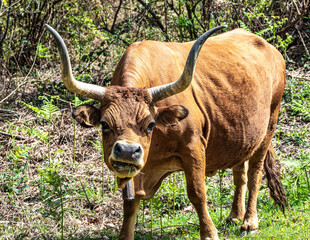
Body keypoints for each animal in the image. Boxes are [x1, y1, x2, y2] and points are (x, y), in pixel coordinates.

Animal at [46, 24, 288, 240]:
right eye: (105, 124)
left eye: (150, 124)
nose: (127, 151)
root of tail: (271, 48)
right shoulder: (136, 168)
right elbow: (129, 202)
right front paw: (125, 235)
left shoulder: (193, 148)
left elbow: (197, 193)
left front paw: (209, 233)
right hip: (243, 135)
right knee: (240, 173)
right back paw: (235, 216)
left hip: (269, 125)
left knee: (255, 173)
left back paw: (249, 222)